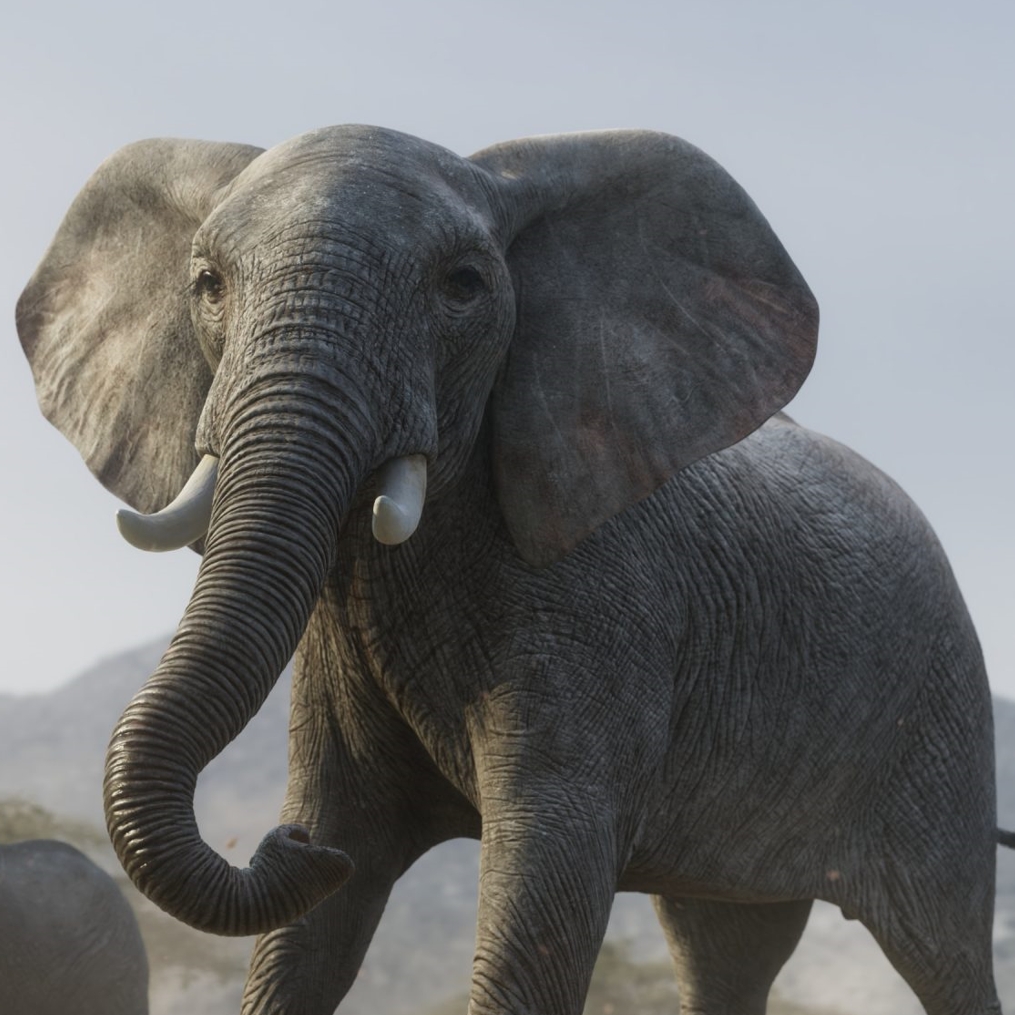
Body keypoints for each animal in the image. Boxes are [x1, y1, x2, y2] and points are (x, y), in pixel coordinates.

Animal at [16, 124, 1009, 1015]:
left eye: (462, 286)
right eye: (209, 285)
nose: (280, 840)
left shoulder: (606, 601)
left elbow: (545, 874)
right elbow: (325, 903)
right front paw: (329, 852)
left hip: (937, 724)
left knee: (941, 950)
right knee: (722, 944)